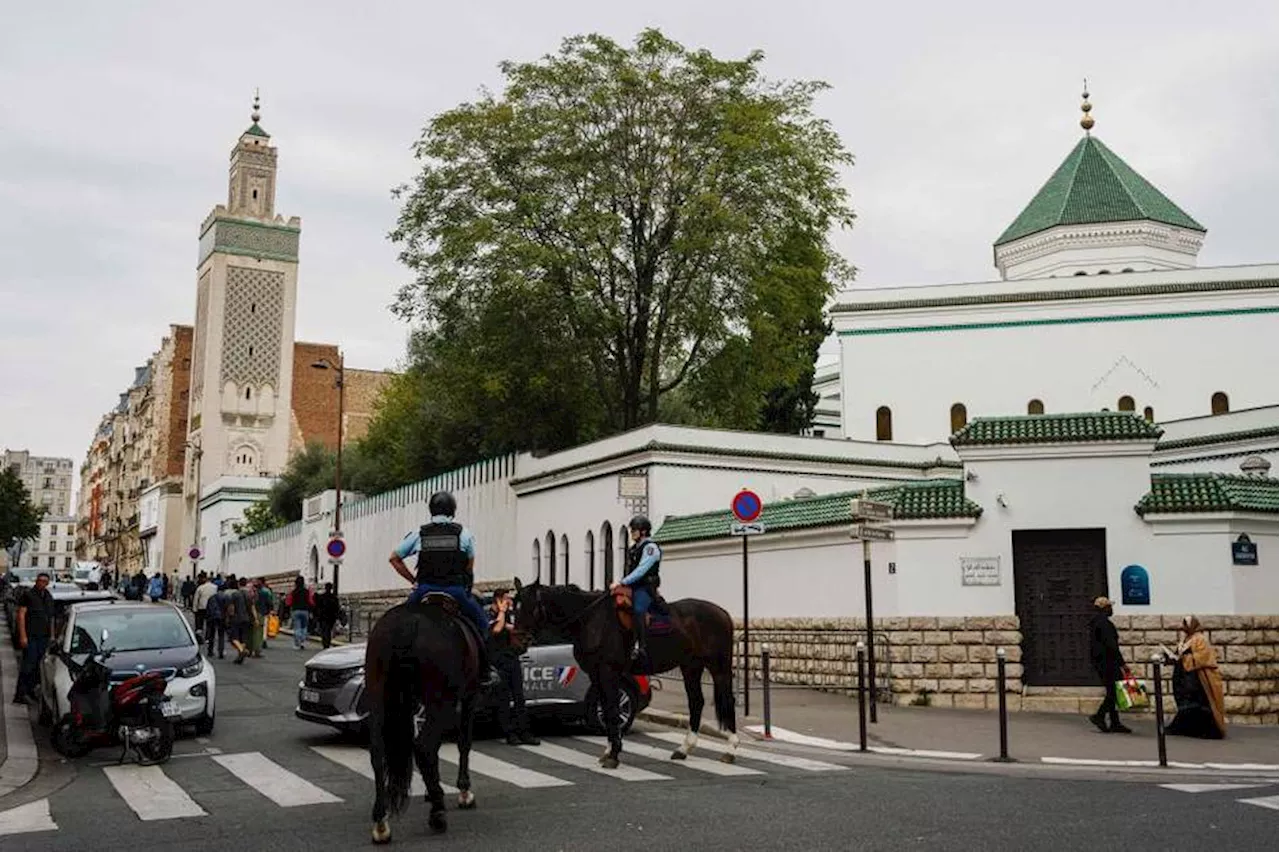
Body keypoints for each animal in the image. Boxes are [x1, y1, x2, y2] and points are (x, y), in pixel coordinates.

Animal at [366, 593, 483, 839]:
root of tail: (407, 625)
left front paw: (431, 789)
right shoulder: (470, 696)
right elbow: (464, 742)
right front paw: (463, 791)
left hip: (378, 695)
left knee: (378, 752)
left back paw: (381, 821)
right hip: (442, 701)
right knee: (425, 747)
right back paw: (438, 812)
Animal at [509, 580, 737, 767]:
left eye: (529, 607)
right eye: (514, 608)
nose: (518, 642)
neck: (591, 619)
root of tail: (723, 613)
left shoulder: (608, 671)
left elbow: (611, 709)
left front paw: (613, 755)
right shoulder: (595, 674)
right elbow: (607, 708)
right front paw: (610, 750)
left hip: (719, 667)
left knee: (728, 700)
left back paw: (731, 749)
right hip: (691, 666)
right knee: (696, 701)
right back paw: (684, 748)